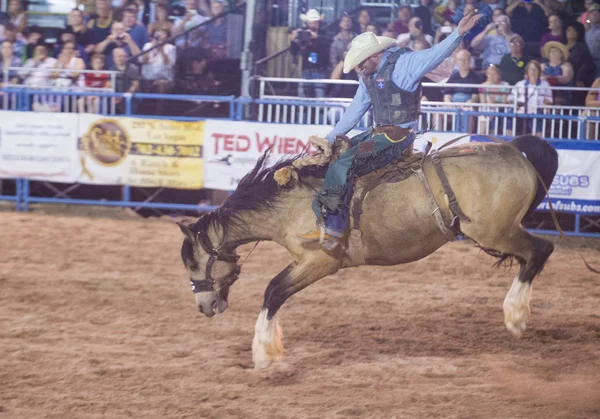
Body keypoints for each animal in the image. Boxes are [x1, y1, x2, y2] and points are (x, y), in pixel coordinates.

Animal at [177, 134, 556, 368]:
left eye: (193, 263)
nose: (203, 306)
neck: (291, 204)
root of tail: (513, 149)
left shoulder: (319, 262)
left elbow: (273, 292)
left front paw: (264, 354)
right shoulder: (303, 261)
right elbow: (274, 292)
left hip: (495, 232)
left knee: (541, 250)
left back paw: (515, 316)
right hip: (497, 233)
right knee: (532, 256)